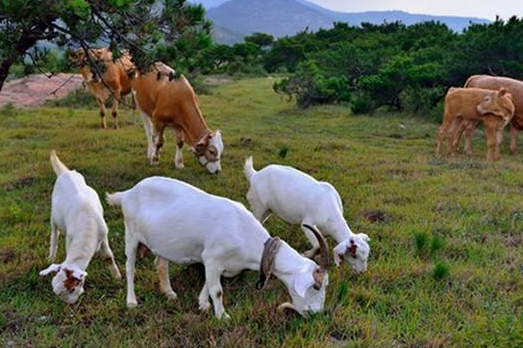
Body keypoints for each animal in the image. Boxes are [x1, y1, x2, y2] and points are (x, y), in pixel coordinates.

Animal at [40, 151, 122, 304]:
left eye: (72, 288)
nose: (70, 304)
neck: (88, 226)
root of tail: (65, 172)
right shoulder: (70, 238)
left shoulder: (104, 234)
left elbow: (108, 256)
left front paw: (117, 276)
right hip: (53, 215)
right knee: (54, 234)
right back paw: (51, 257)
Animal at [105, 177, 332, 318]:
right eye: (315, 286)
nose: (315, 314)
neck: (244, 233)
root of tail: (128, 193)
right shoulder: (213, 258)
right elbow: (218, 290)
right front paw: (222, 315)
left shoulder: (215, 262)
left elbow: (209, 282)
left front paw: (203, 304)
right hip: (131, 234)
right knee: (130, 267)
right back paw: (131, 301)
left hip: (161, 242)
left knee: (161, 263)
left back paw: (169, 293)